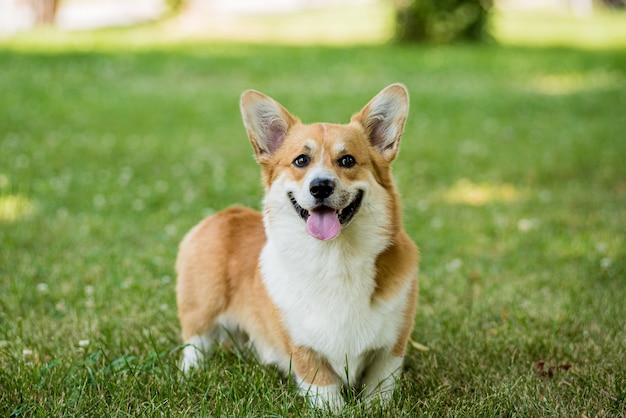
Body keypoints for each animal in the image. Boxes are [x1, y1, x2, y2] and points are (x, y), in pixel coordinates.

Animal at [176, 83, 416, 410]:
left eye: (348, 161)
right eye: (301, 160)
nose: (321, 186)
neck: (335, 258)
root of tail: (226, 213)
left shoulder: (391, 347)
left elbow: (379, 388)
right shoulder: (303, 348)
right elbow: (325, 390)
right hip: (202, 307)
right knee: (194, 344)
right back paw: (191, 372)